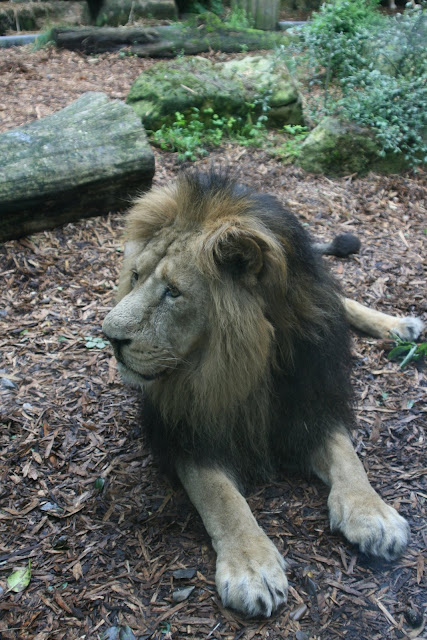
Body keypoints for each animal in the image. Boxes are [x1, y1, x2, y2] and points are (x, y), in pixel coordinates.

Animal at [102, 170, 423, 618]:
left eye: (173, 292)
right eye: (135, 277)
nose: (110, 337)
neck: (241, 367)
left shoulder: (310, 404)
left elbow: (348, 458)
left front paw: (372, 513)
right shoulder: (185, 434)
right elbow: (222, 498)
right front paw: (251, 567)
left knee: (340, 300)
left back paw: (400, 326)